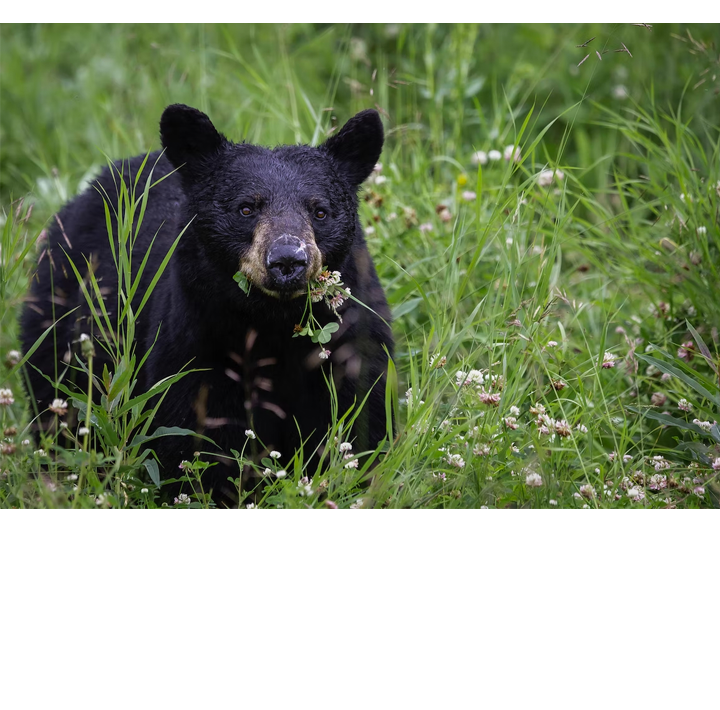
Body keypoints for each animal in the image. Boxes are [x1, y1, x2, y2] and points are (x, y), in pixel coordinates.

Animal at [21, 105, 394, 506]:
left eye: (320, 211)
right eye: (246, 208)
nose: (287, 260)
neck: (273, 324)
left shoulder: (351, 340)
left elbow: (361, 420)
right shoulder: (194, 341)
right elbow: (196, 437)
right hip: (58, 315)